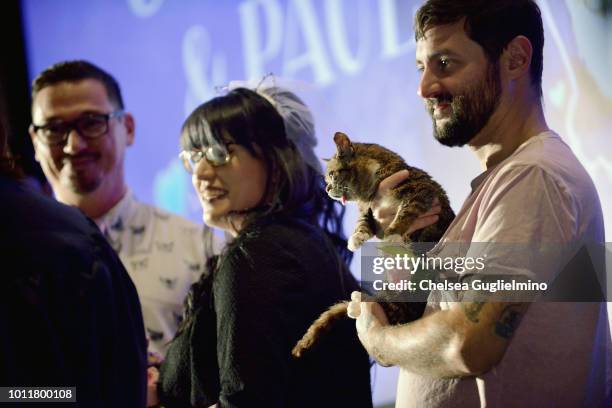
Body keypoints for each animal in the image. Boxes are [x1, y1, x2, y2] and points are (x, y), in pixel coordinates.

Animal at [292, 132, 454, 358]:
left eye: (332, 175)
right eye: (327, 179)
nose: (326, 188)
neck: (372, 188)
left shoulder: (419, 192)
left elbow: (405, 213)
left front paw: (392, 234)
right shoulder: (370, 213)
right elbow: (363, 222)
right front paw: (355, 239)